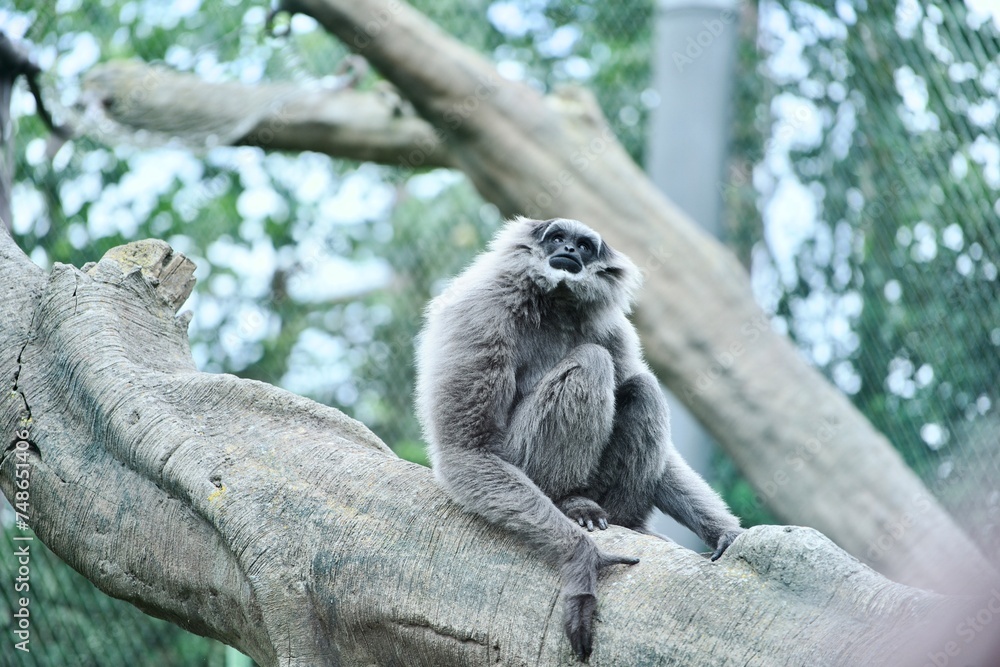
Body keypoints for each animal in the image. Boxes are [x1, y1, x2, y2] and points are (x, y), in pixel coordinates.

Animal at [415, 216, 744, 661]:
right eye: (557, 237)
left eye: (585, 246)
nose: (569, 250)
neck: (554, 303)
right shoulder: (482, 313)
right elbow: (465, 450)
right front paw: (583, 561)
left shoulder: (615, 330)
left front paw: (725, 531)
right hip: (522, 459)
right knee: (592, 362)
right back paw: (572, 503)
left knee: (640, 386)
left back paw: (626, 521)